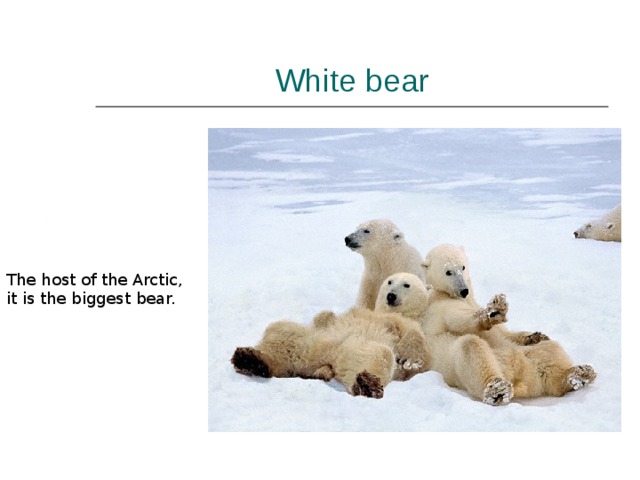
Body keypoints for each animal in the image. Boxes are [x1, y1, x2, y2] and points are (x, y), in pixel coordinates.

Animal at [231, 307, 431, 398]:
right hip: (309, 342)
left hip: (349, 353)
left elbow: (414, 336)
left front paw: (409, 358)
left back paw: (368, 384)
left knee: (379, 354)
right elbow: (324, 318)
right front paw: (326, 316)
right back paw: (250, 359)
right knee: (281, 332)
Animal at [375, 249, 596, 405]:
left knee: (549, 351)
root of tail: (522, 379)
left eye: (463, 267)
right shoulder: (436, 310)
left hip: (527, 357)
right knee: (472, 347)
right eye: (448, 271)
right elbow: (458, 321)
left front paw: (533, 334)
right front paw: (491, 313)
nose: (391, 296)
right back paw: (496, 390)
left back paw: (578, 374)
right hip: (459, 366)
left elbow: (505, 333)